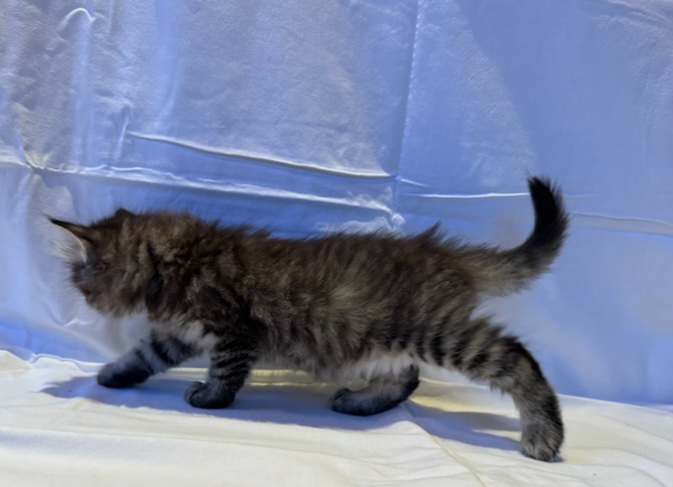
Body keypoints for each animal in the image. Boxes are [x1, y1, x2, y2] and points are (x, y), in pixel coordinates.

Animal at [50, 177, 568, 462]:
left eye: (82, 283)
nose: (80, 299)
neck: (179, 260)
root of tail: (442, 252)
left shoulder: (234, 331)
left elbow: (225, 373)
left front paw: (210, 399)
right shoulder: (180, 335)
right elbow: (144, 354)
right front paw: (113, 374)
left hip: (438, 330)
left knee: (516, 360)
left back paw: (544, 436)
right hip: (385, 338)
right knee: (406, 377)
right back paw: (360, 403)